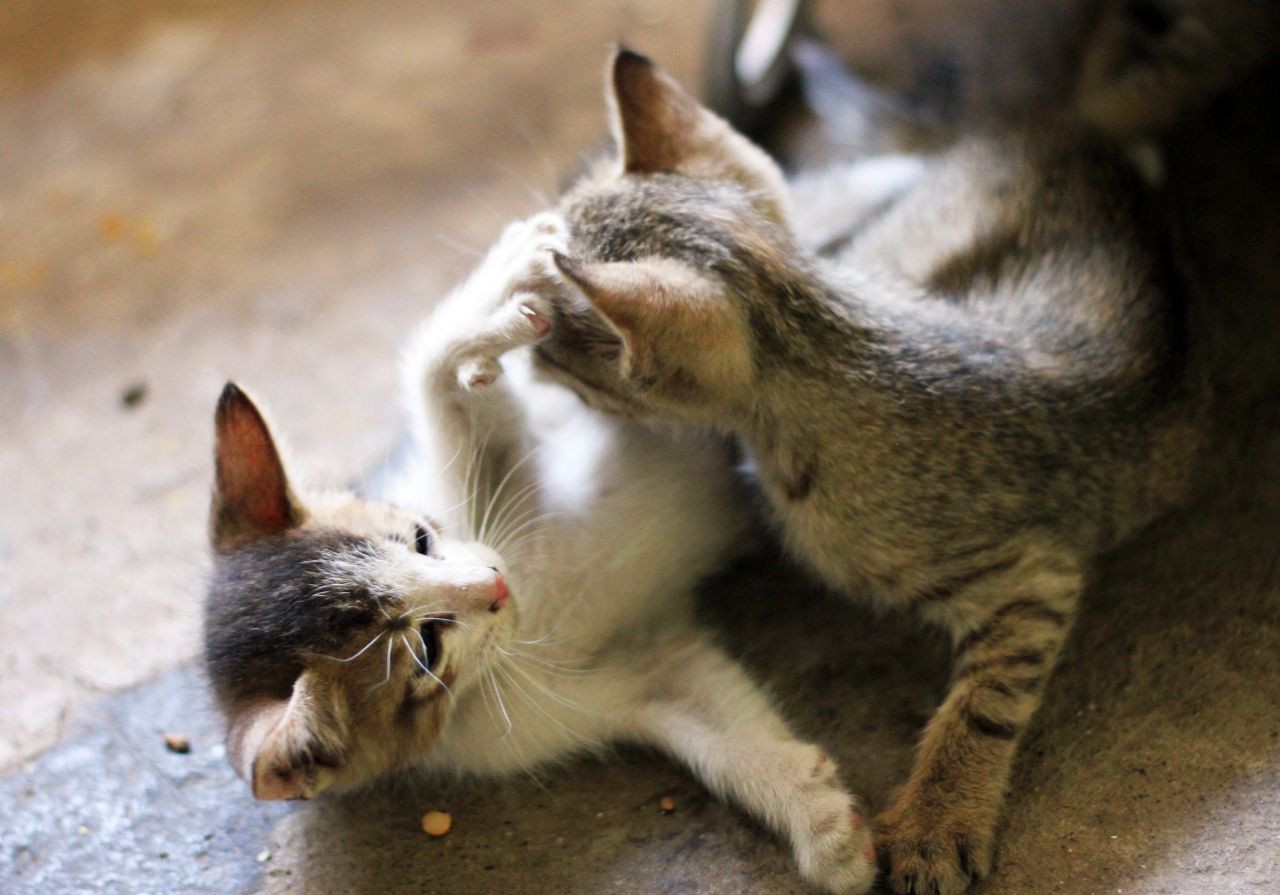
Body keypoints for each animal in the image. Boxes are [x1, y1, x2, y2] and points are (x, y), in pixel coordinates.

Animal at [202, 213, 880, 891]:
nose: (495, 583)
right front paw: (817, 817)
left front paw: (509, 275)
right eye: (426, 651)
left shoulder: (499, 467)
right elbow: (716, 726)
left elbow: (440, 383)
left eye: (421, 538)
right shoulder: (628, 678)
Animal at [527, 50, 1198, 895]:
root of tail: (1047, 125)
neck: (835, 344)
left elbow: (984, 702)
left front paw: (938, 817)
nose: (523, 352)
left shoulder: (1034, 573)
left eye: (553, 342)